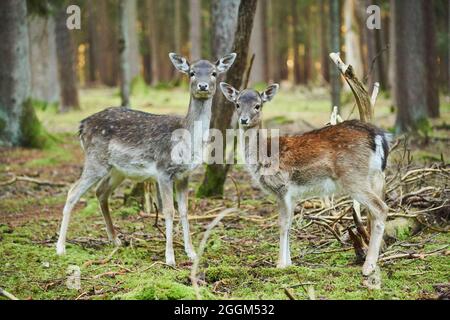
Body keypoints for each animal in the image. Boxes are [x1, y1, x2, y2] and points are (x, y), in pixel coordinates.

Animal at [221, 81, 390, 282]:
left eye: (258, 105)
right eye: (237, 104)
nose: (244, 120)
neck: (263, 155)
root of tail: (379, 137)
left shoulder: (281, 187)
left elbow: (282, 224)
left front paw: (280, 264)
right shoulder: (292, 195)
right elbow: (290, 223)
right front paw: (289, 263)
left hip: (353, 177)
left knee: (381, 208)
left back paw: (368, 267)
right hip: (376, 176)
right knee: (376, 210)